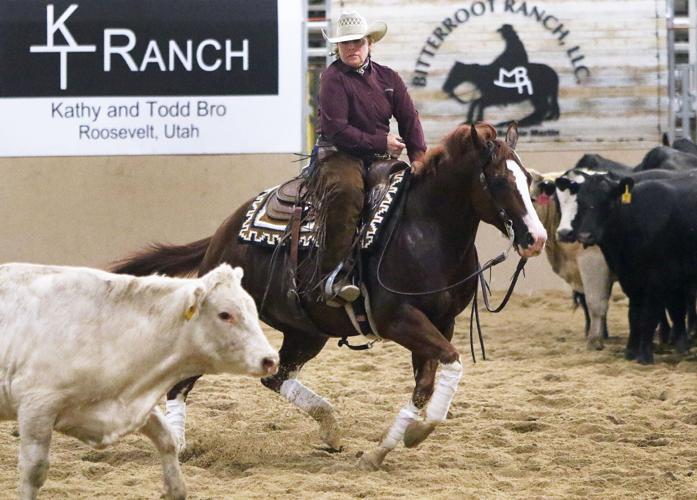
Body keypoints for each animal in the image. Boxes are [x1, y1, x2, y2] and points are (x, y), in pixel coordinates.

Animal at [111, 122, 547, 470]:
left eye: (528, 180)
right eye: (499, 181)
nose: (537, 238)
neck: (426, 231)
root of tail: (224, 232)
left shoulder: (441, 322)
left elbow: (426, 384)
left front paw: (384, 448)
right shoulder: (399, 319)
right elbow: (452, 363)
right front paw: (414, 435)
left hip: (307, 332)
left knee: (277, 376)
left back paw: (331, 428)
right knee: (184, 377)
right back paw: (177, 441)